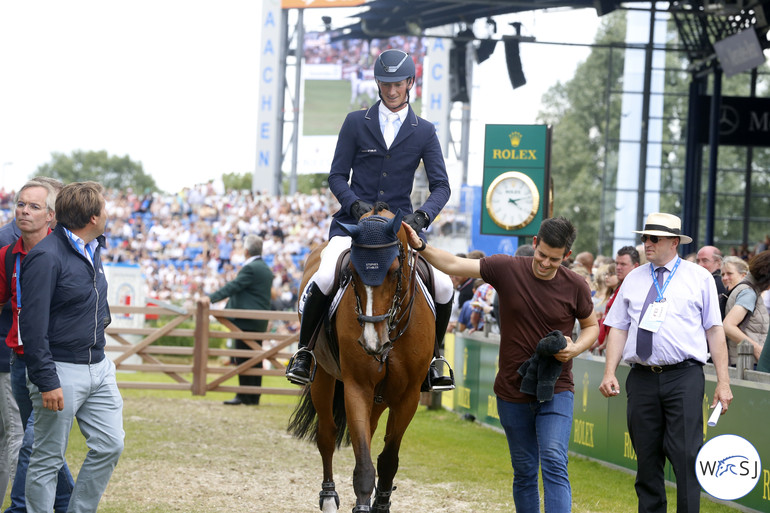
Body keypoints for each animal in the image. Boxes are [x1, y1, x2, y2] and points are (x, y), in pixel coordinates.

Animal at [288, 205, 436, 512]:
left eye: (394, 271)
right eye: (353, 273)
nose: (371, 343)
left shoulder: (408, 396)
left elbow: (388, 459)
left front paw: (380, 503)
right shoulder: (358, 387)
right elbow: (364, 462)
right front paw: (362, 502)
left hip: (381, 397)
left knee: (369, 429)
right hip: (323, 378)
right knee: (327, 436)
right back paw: (328, 497)